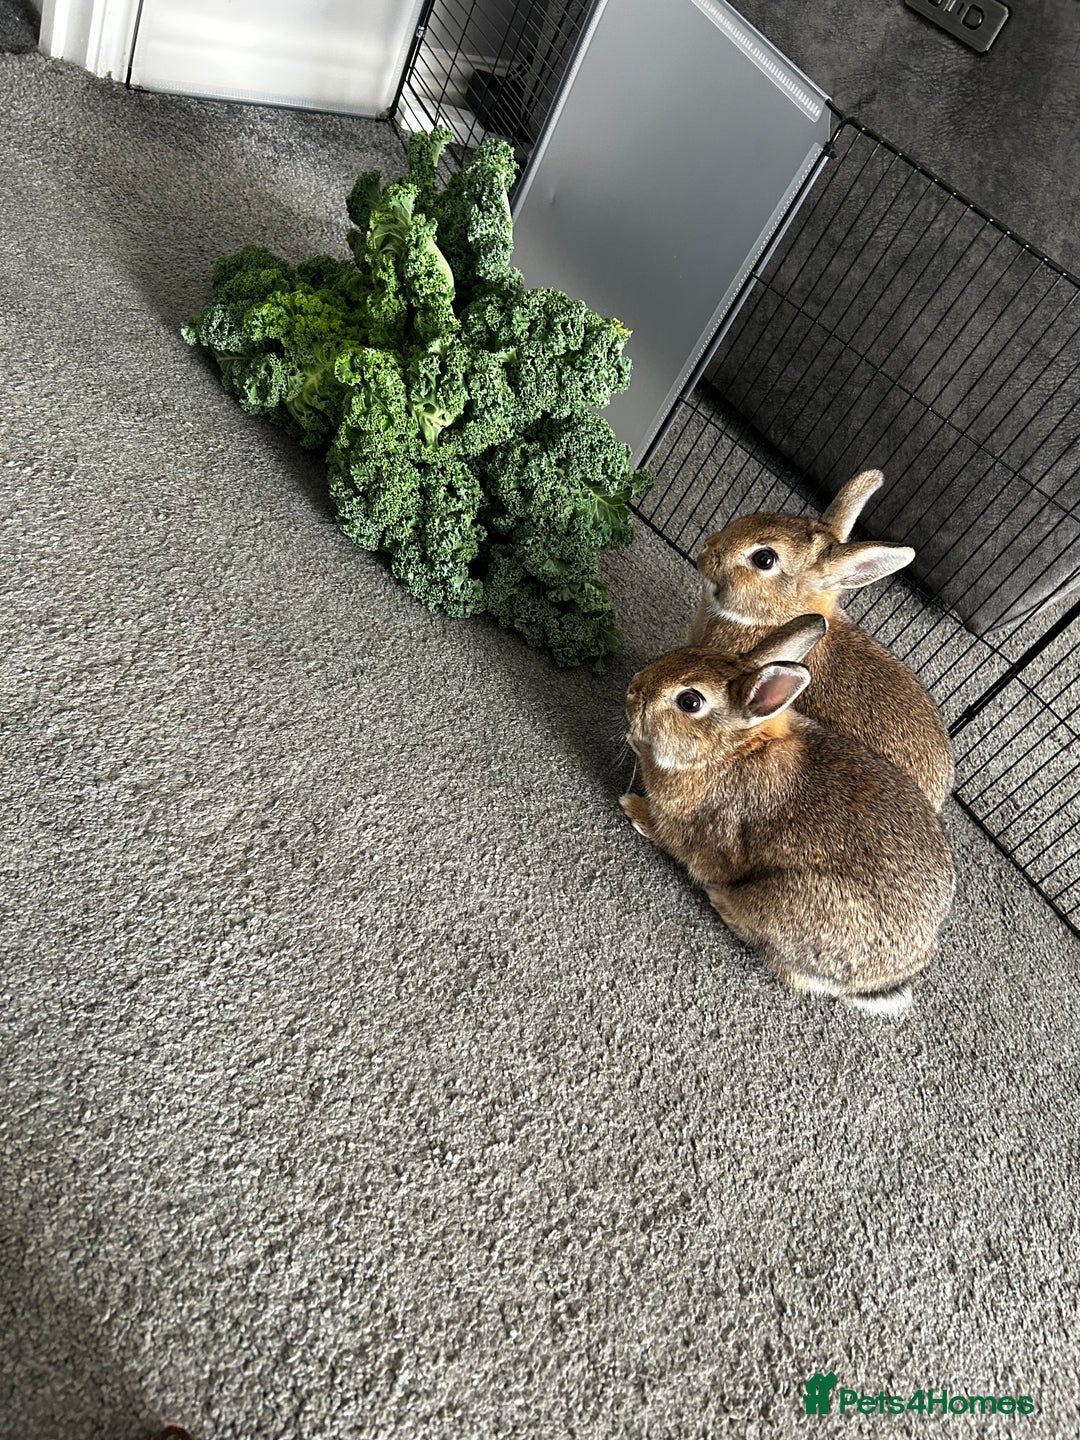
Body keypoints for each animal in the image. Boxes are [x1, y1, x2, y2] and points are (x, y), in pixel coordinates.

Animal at [621, 614, 955, 1015]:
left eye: (690, 701)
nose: (633, 688)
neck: (729, 752)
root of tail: (885, 979)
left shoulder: (697, 834)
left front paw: (632, 807)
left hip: (788, 905)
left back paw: (720, 898)